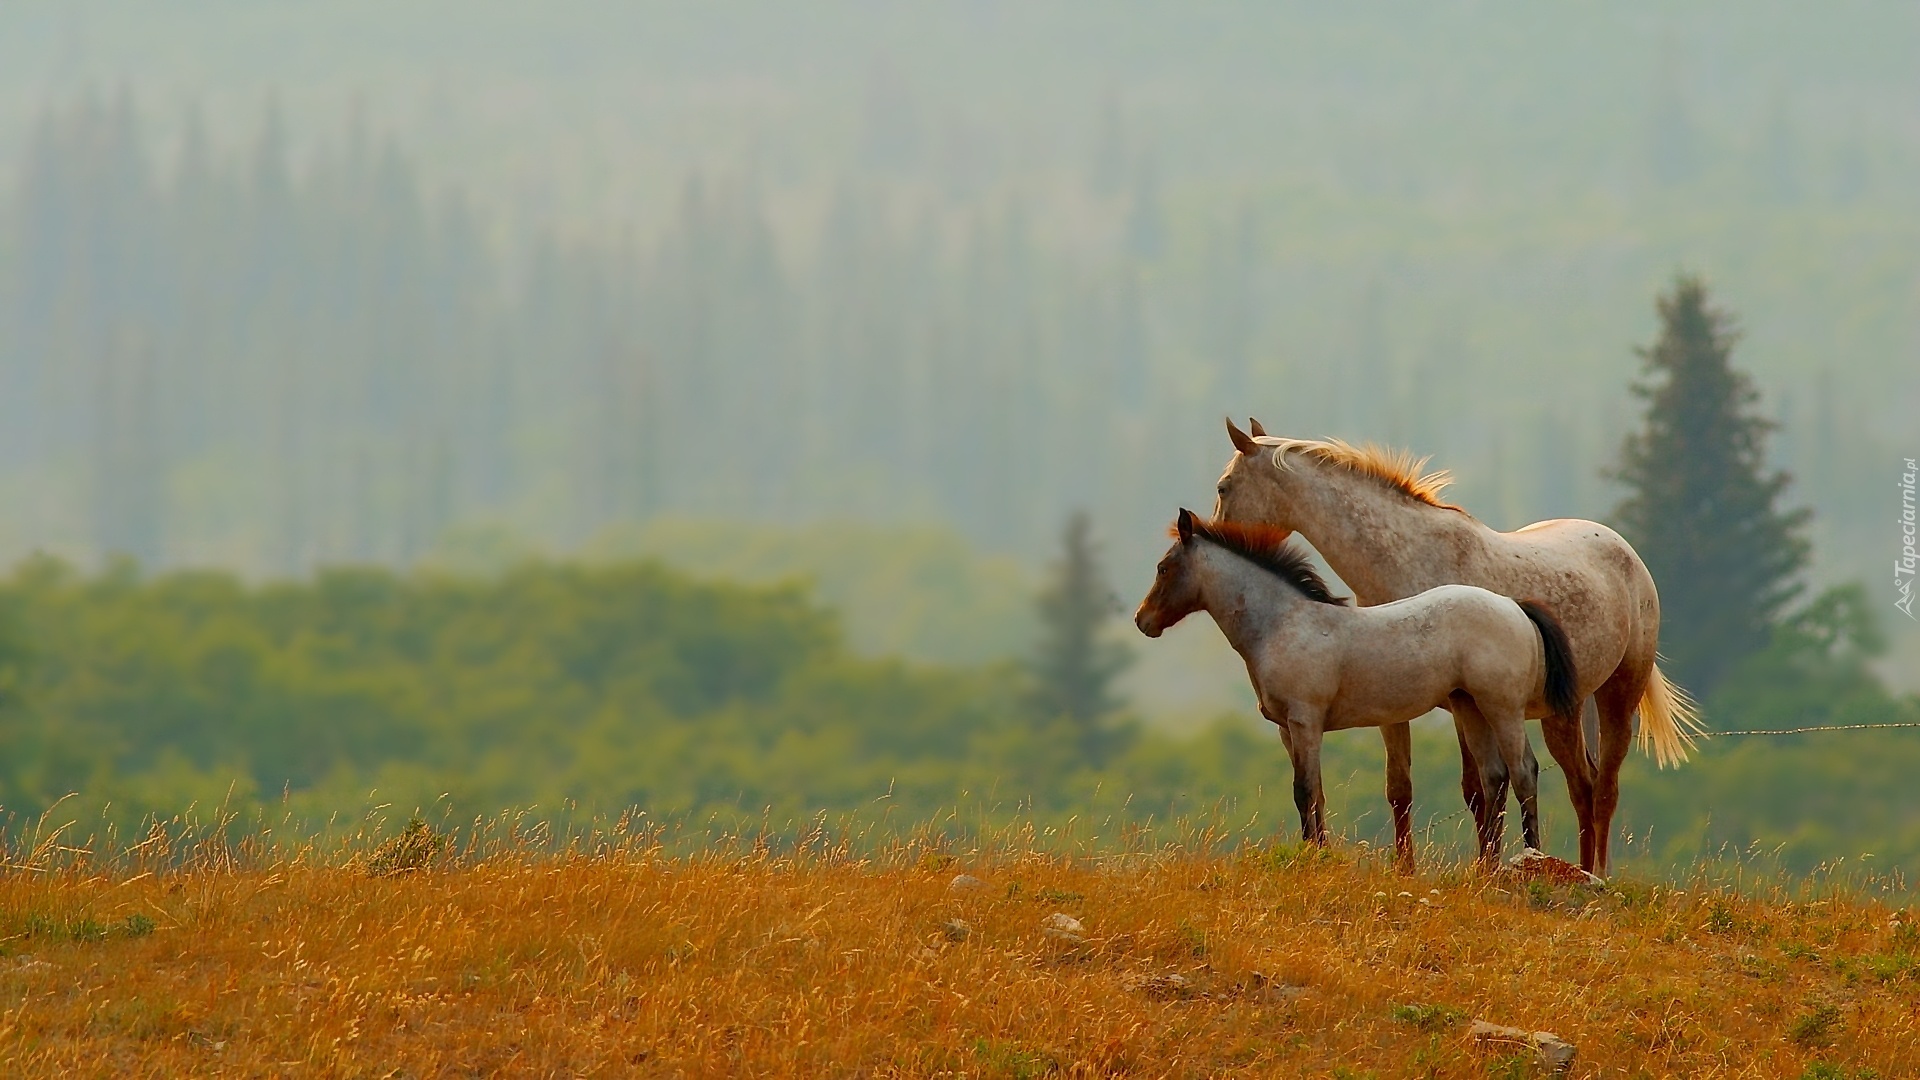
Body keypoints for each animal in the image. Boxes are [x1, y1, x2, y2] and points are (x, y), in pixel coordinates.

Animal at [1213, 418, 1697, 876]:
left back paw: (1593, 873)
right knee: (1584, 785)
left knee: (1601, 788)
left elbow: (1483, 788)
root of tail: (1624, 550)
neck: (1408, 557)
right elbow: (1404, 788)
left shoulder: (1464, 704)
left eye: (1223, 487)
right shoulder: (1399, 706)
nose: (1212, 536)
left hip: (1613, 696)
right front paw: (1409, 869)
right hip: (1568, 709)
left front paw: (1486, 865)